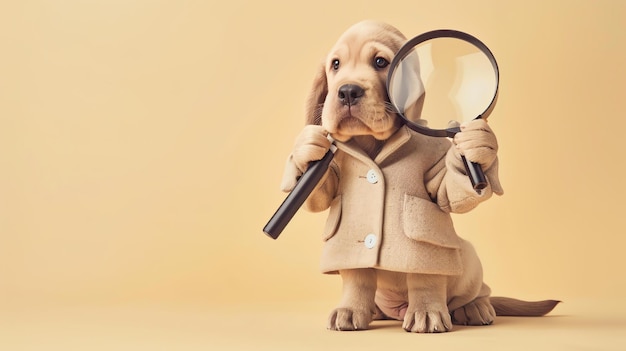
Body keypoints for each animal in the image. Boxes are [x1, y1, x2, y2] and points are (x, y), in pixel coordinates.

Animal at [278, 20, 556, 334]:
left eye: (380, 62)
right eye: (335, 65)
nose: (347, 91)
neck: (373, 143)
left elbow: (427, 271)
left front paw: (427, 313)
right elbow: (354, 271)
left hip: (468, 258)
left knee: (476, 291)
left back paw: (474, 307)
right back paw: (374, 311)